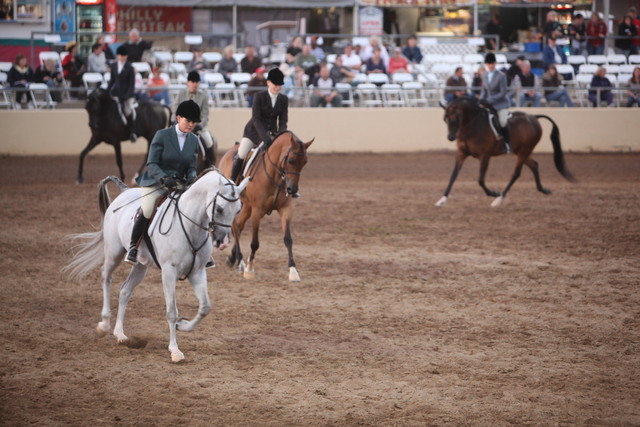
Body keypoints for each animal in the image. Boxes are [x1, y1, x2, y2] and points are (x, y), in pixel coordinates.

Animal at [64, 170, 249, 362]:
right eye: (219, 208)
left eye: (238, 209)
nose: (223, 242)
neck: (190, 227)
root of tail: (124, 192)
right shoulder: (168, 272)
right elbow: (171, 312)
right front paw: (175, 350)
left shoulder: (197, 272)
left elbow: (205, 307)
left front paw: (183, 326)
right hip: (114, 253)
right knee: (105, 277)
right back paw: (104, 324)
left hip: (140, 266)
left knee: (125, 291)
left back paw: (120, 333)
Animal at [218, 131, 313, 282]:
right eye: (291, 160)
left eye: (305, 162)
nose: (292, 190)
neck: (276, 176)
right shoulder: (257, 211)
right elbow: (255, 243)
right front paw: (250, 270)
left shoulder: (286, 209)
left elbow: (288, 239)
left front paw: (293, 271)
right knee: (235, 226)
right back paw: (241, 262)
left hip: (247, 206)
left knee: (238, 225)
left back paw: (234, 259)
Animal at [438, 96, 575, 207]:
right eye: (445, 119)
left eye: (456, 117)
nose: (450, 137)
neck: (472, 126)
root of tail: (533, 117)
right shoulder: (461, 153)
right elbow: (453, 176)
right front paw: (442, 200)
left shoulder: (485, 156)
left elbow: (480, 179)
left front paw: (493, 193)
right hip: (521, 151)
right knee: (534, 165)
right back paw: (543, 189)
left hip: (524, 151)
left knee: (516, 174)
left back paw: (499, 199)